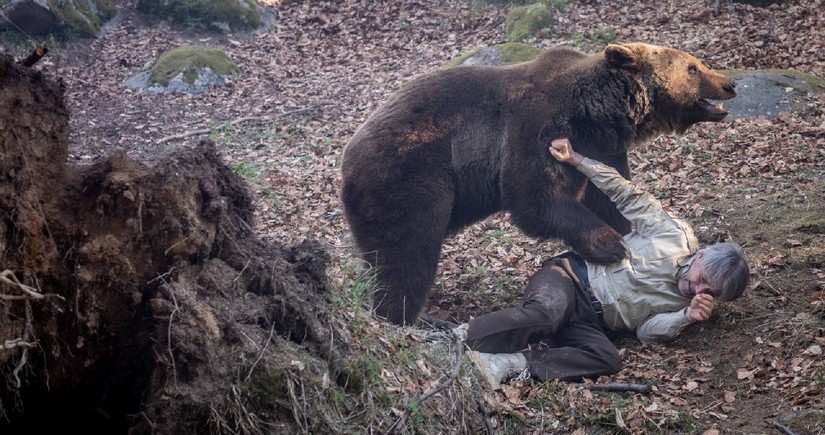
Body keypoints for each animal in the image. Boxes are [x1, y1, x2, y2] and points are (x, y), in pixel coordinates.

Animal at [338, 42, 736, 328]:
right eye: (693, 67)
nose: (729, 83)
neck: (594, 114)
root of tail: (348, 154)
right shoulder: (535, 127)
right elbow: (537, 199)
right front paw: (610, 245)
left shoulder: (603, 147)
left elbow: (607, 194)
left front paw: (626, 230)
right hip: (410, 176)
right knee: (407, 252)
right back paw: (399, 317)